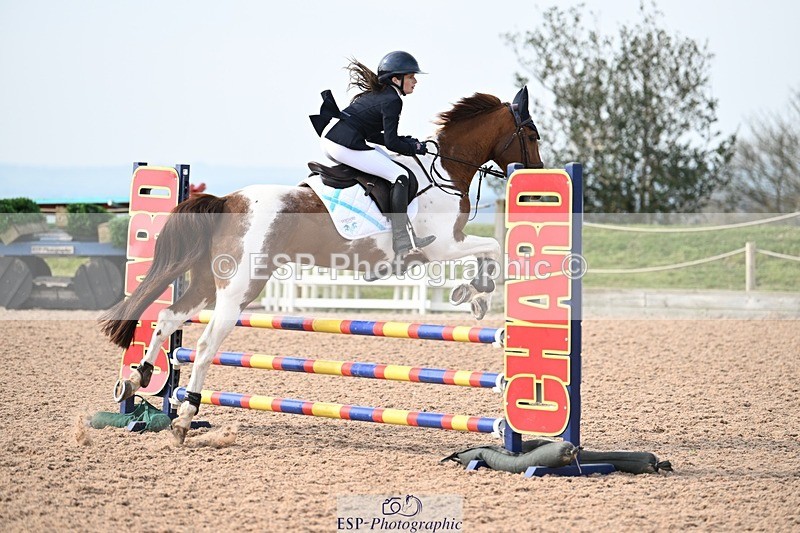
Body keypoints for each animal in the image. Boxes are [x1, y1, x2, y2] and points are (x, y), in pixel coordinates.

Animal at [100, 86, 543, 443]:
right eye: (532, 135)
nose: (538, 181)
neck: (445, 171)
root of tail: (227, 201)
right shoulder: (443, 246)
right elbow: (492, 249)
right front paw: (477, 293)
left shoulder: (447, 246)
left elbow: (488, 251)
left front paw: (474, 295)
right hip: (241, 288)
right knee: (206, 345)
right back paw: (183, 416)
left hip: (209, 283)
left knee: (168, 318)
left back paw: (136, 379)